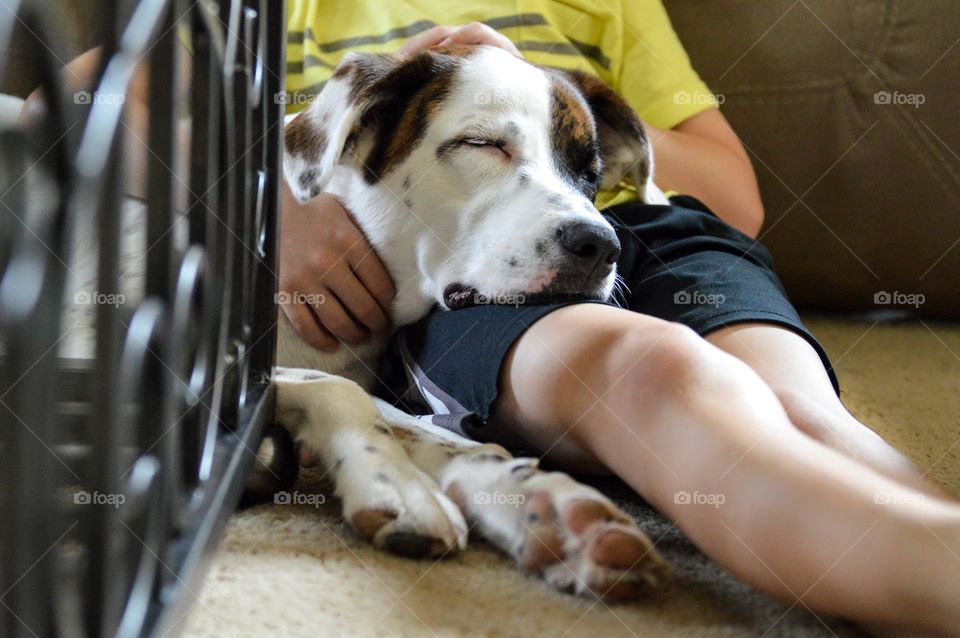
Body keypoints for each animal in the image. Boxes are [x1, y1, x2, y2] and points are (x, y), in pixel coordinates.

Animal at [272, 45, 676, 600]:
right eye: (481, 144)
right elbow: (338, 390)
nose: (599, 245)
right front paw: (396, 486)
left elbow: (451, 438)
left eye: (589, 173)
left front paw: (539, 501)